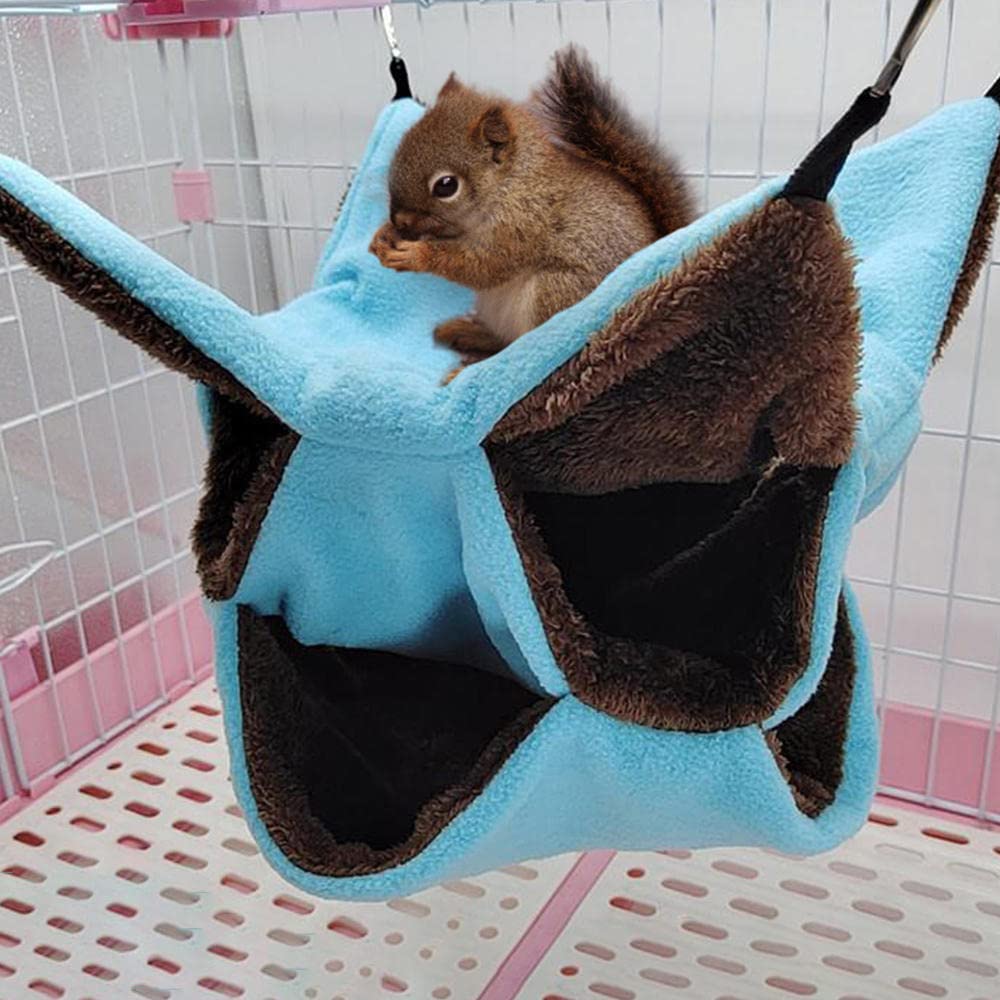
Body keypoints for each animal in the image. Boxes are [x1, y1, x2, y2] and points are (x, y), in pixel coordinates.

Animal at [370, 45, 694, 376]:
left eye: (446, 186)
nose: (399, 219)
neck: (511, 185)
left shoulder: (523, 225)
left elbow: (482, 266)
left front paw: (415, 255)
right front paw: (384, 236)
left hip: (554, 293)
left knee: (520, 352)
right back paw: (468, 333)